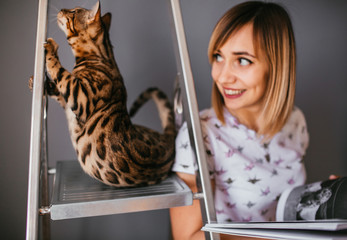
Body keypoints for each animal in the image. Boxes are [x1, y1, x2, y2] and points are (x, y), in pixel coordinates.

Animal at [38, 0, 178, 187]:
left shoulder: (80, 97)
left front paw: (51, 49)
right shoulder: (70, 103)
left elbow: (61, 73)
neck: (103, 56)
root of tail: (168, 140)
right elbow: (58, 89)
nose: (61, 9)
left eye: (73, 11)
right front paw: (37, 82)